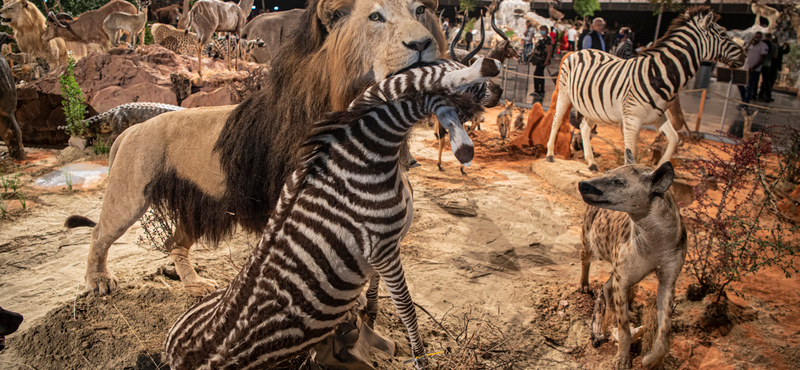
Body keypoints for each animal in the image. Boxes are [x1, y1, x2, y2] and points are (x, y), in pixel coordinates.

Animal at [65, 0, 454, 296]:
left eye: (420, 10)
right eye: (375, 17)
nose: (422, 43)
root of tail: (131, 129)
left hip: (197, 204)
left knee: (174, 243)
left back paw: (194, 285)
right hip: (129, 195)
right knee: (99, 234)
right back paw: (98, 282)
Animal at [164, 57, 500, 370]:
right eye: (470, 84)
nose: (499, 90)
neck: (368, 156)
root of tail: (172, 350)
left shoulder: (379, 252)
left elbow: (374, 288)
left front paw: (370, 318)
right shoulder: (382, 248)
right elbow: (407, 309)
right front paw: (420, 359)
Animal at [544, 6, 744, 172]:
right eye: (723, 34)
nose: (744, 55)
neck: (658, 74)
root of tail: (579, 51)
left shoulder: (658, 116)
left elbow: (674, 139)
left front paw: (660, 168)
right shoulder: (632, 119)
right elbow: (630, 156)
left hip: (593, 107)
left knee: (585, 127)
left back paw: (592, 163)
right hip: (565, 95)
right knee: (556, 121)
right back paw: (550, 154)